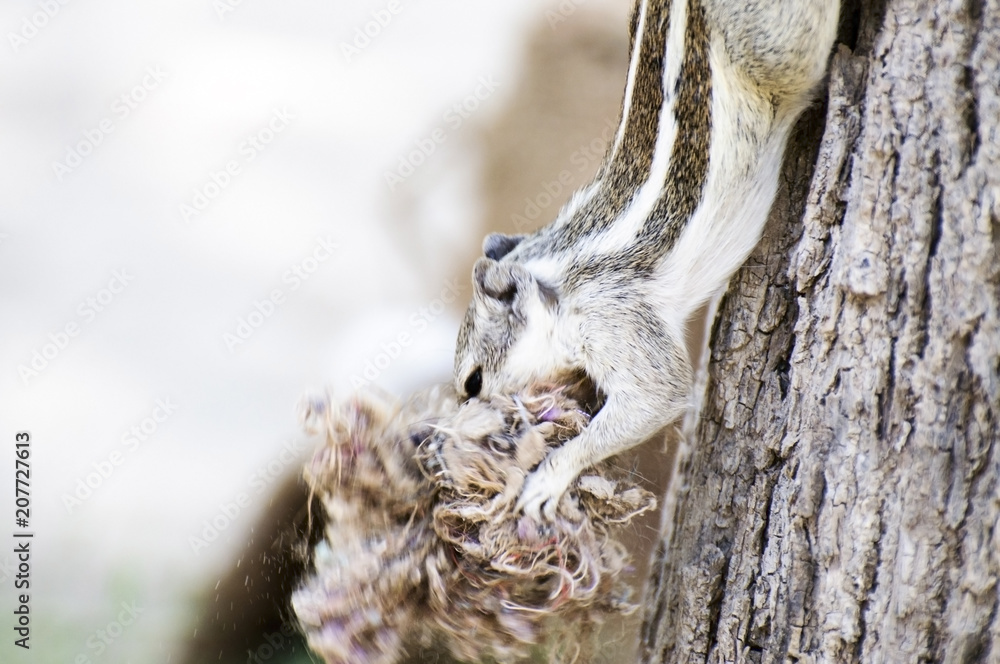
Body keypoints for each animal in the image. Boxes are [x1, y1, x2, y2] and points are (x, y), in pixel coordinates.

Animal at [455, 0, 841, 520]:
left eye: (473, 382)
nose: (462, 426)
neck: (556, 277)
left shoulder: (614, 316)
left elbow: (659, 394)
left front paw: (550, 476)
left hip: (778, 46)